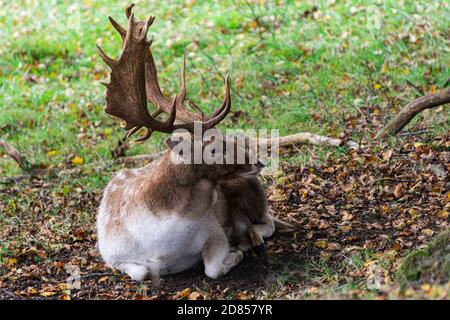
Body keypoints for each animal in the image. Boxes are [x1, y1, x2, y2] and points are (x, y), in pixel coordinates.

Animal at [96, 4, 282, 280]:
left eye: (226, 135)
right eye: (213, 149)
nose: (258, 162)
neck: (162, 243)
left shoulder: (214, 232)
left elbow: (213, 268)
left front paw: (236, 251)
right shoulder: (112, 255)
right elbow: (141, 273)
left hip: (252, 192)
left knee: (268, 222)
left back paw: (251, 239)